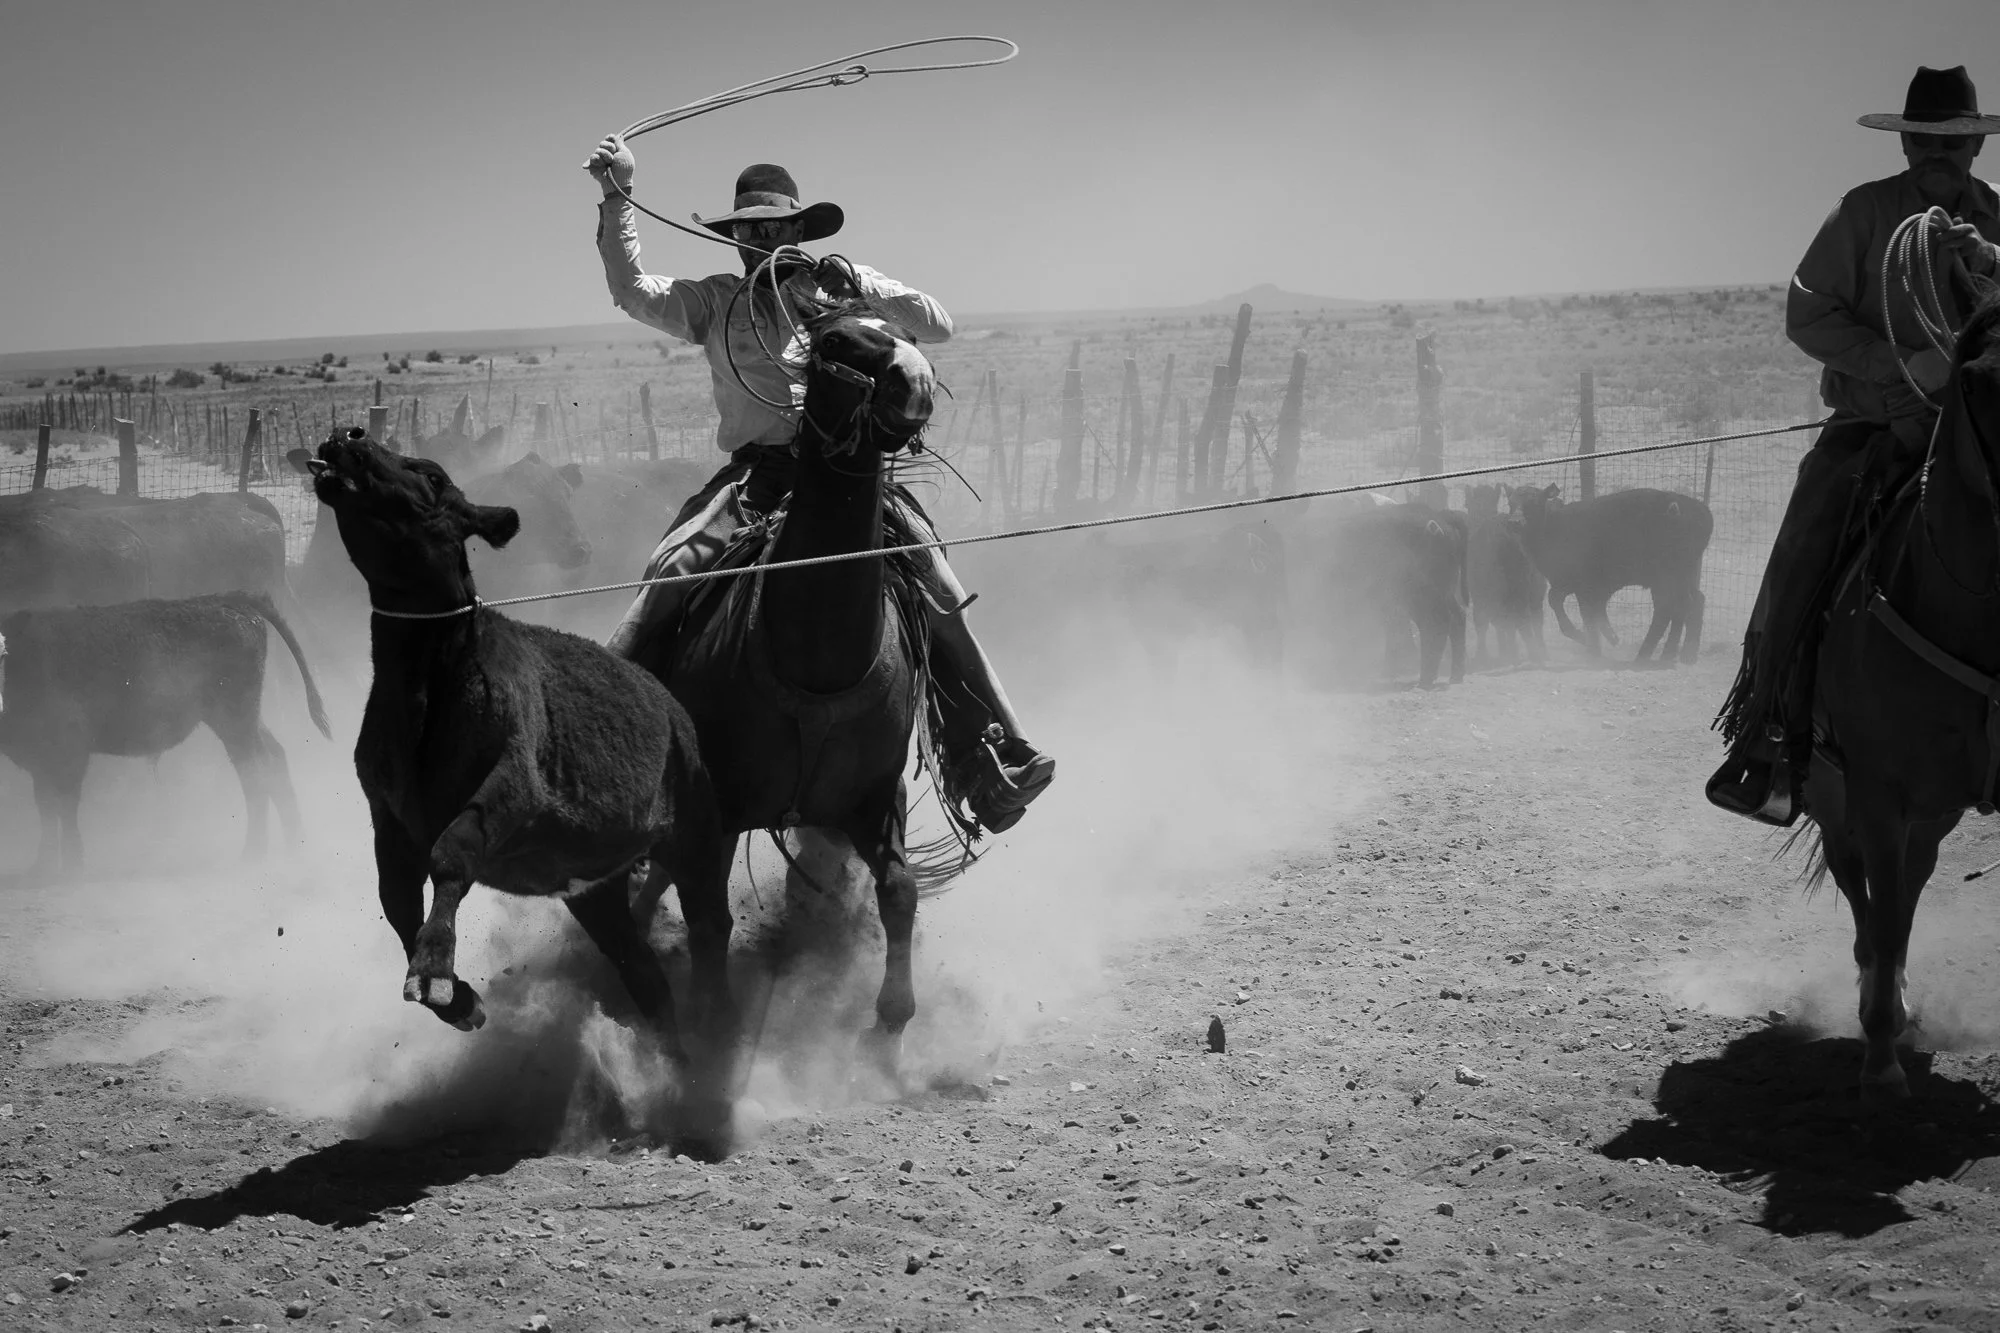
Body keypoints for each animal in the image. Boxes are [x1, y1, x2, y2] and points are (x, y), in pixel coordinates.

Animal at [0, 591, 330, 876]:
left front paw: (71, 864)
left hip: (235, 721)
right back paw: (294, 844)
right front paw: (41, 865)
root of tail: (230, 600)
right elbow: (46, 807)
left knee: (256, 772)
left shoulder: (69, 755)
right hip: (244, 720)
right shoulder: (40, 761)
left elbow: (64, 807)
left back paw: (254, 853)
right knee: (274, 759)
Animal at [293, 430, 736, 1136]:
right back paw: (675, 1070)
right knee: (642, 973)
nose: (349, 437)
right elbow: (396, 900)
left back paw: (714, 1040)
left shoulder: (508, 795)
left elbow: (449, 858)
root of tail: (672, 709)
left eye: (431, 475)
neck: (435, 684)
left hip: (693, 833)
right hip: (595, 891)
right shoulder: (388, 819)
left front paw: (436, 973)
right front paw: (459, 1000)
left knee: (709, 926)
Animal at [1506, 484, 1711, 664]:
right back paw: (1683, 654)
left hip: (1667, 576)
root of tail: (1697, 509)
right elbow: (1574, 606)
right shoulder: (1573, 584)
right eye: (1510, 502)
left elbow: (1583, 613)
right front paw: (1605, 638)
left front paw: (1592, 645)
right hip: (1682, 576)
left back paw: (1656, 655)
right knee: (1693, 602)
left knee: (1672, 608)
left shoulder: (1584, 585)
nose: (1515, 521)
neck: (1556, 527)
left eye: (1534, 502)